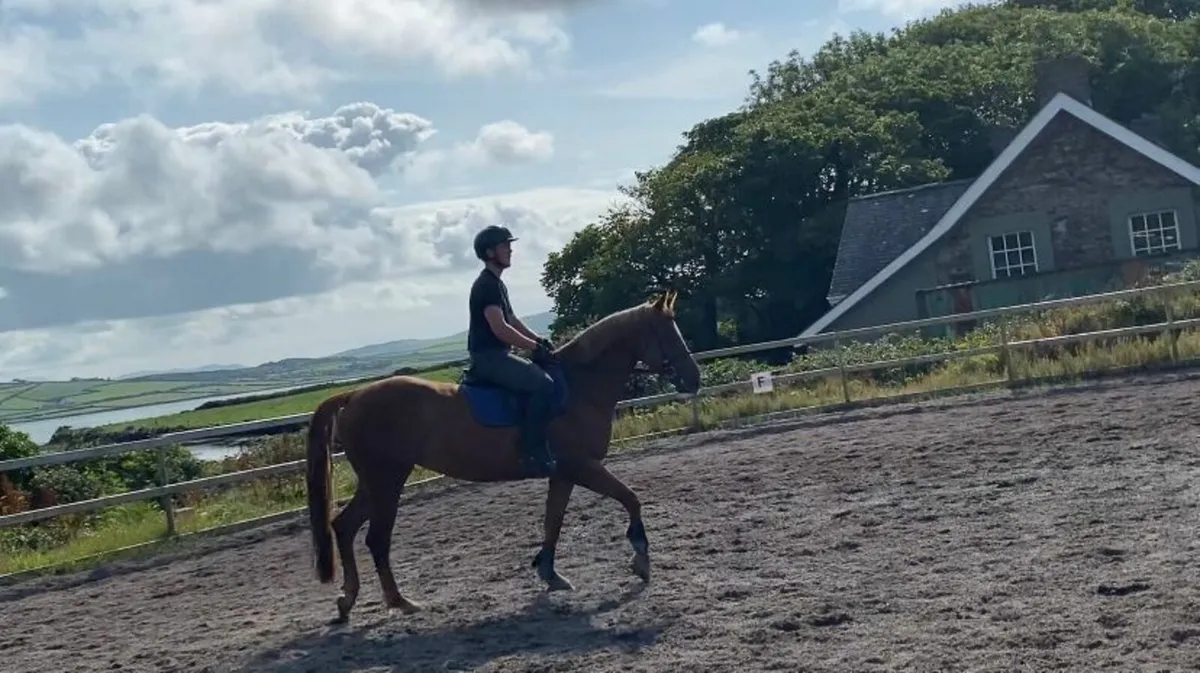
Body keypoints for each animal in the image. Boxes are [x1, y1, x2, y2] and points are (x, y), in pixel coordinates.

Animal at [305, 290, 702, 623]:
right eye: (667, 334)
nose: (694, 378)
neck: (579, 387)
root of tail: (354, 395)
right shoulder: (583, 466)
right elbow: (630, 498)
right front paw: (641, 559)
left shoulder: (563, 472)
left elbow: (553, 520)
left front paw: (550, 573)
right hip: (388, 479)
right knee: (376, 539)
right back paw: (400, 602)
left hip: (376, 481)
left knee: (344, 526)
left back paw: (347, 601)